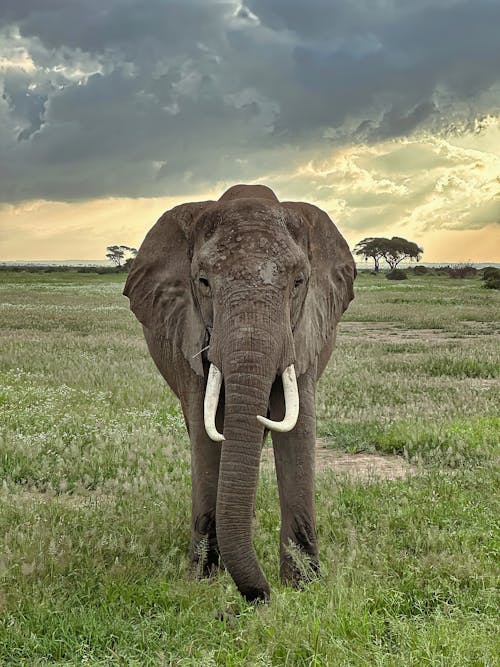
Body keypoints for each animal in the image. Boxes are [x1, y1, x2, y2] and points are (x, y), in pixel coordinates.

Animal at [124, 184, 356, 604]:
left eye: (299, 283)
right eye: (203, 282)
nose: (260, 596)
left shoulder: (306, 331)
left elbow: (298, 426)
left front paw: (304, 584)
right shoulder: (190, 329)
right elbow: (207, 432)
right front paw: (202, 577)